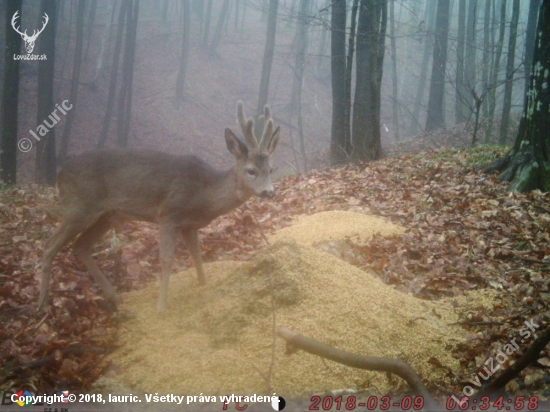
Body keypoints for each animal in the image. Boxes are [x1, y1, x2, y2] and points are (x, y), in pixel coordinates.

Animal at [39, 101, 282, 310]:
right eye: (251, 170)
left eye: (271, 169)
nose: (269, 192)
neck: (203, 194)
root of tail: (60, 176)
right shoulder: (168, 214)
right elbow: (166, 259)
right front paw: (162, 306)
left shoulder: (189, 225)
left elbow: (197, 255)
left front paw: (203, 286)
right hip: (79, 206)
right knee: (50, 245)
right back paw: (42, 305)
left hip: (106, 215)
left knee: (80, 246)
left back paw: (116, 298)